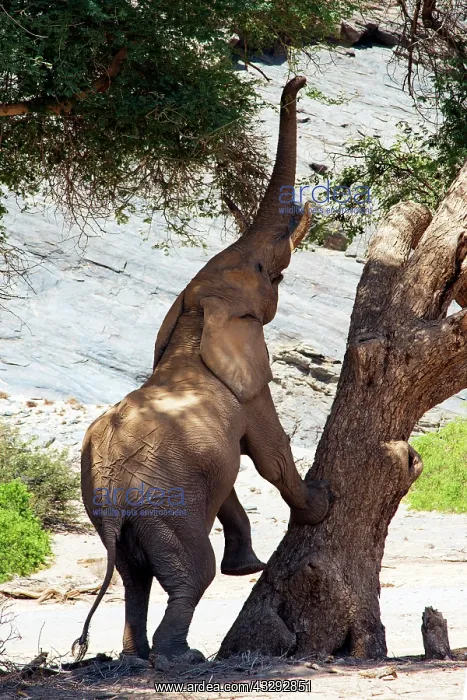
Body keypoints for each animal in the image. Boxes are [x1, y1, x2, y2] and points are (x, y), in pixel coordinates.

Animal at [73, 75, 331, 665]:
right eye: (264, 271)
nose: (298, 79)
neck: (195, 318)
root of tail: (113, 502)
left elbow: (231, 477)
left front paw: (249, 565)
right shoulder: (250, 388)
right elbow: (269, 456)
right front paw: (323, 505)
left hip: (123, 514)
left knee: (134, 578)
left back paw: (135, 656)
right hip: (167, 510)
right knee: (189, 575)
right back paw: (178, 657)